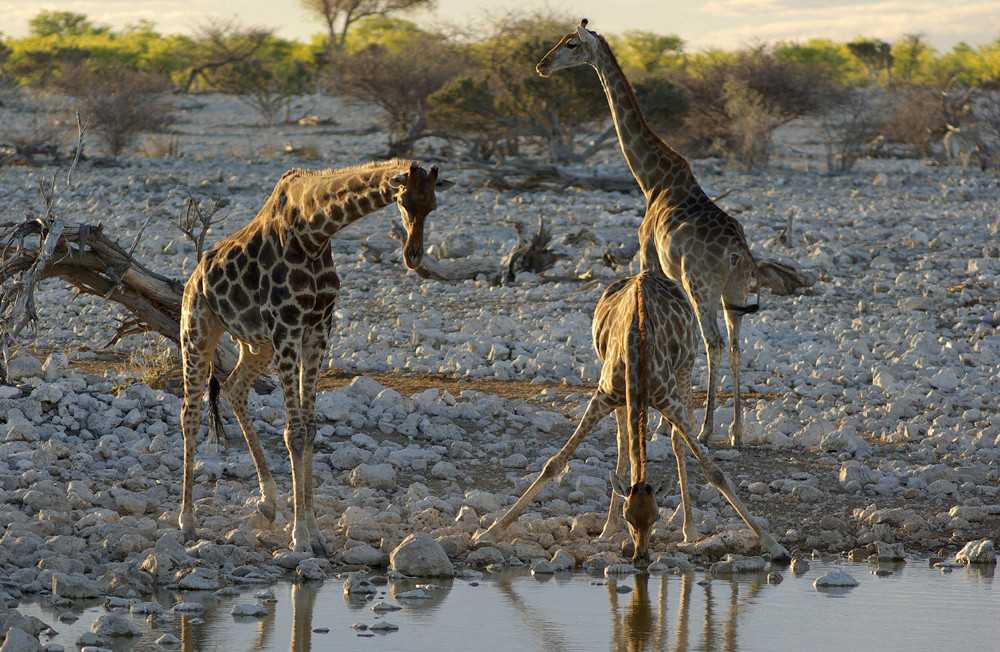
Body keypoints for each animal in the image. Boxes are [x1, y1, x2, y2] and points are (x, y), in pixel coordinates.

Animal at [180, 159, 454, 556]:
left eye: (432, 205)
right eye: (403, 202)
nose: (413, 256)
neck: (315, 232)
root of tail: (192, 278)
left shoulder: (318, 329)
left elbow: (309, 430)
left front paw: (315, 533)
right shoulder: (287, 327)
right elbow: (294, 433)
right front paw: (300, 538)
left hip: (257, 345)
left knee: (232, 389)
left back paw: (268, 502)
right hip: (197, 332)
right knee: (190, 414)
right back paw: (187, 523)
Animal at [472, 270, 792, 564]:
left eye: (656, 517)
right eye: (629, 517)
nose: (641, 557)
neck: (637, 350)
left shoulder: (668, 399)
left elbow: (714, 471)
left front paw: (775, 546)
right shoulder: (604, 394)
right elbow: (555, 464)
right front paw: (488, 533)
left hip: (685, 368)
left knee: (676, 441)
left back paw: (689, 529)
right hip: (622, 393)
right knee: (624, 441)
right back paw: (606, 529)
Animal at [540, 20, 756, 448]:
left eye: (570, 44)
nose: (541, 66)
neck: (651, 179)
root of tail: (738, 252)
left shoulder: (648, 254)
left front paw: (659, 424)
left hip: (702, 287)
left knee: (714, 343)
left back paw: (706, 429)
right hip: (734, 293)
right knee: (737, 346)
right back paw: (737, 432)